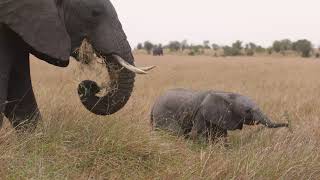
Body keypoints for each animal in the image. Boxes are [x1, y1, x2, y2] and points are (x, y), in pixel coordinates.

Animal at [151, 88, 288, 141]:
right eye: (247, 111)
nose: (288, 124)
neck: (227, 94)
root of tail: (153, 106)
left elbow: (221, 136)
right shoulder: (201, 114)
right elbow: (198, 134)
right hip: (164, 116)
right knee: (175, 133)